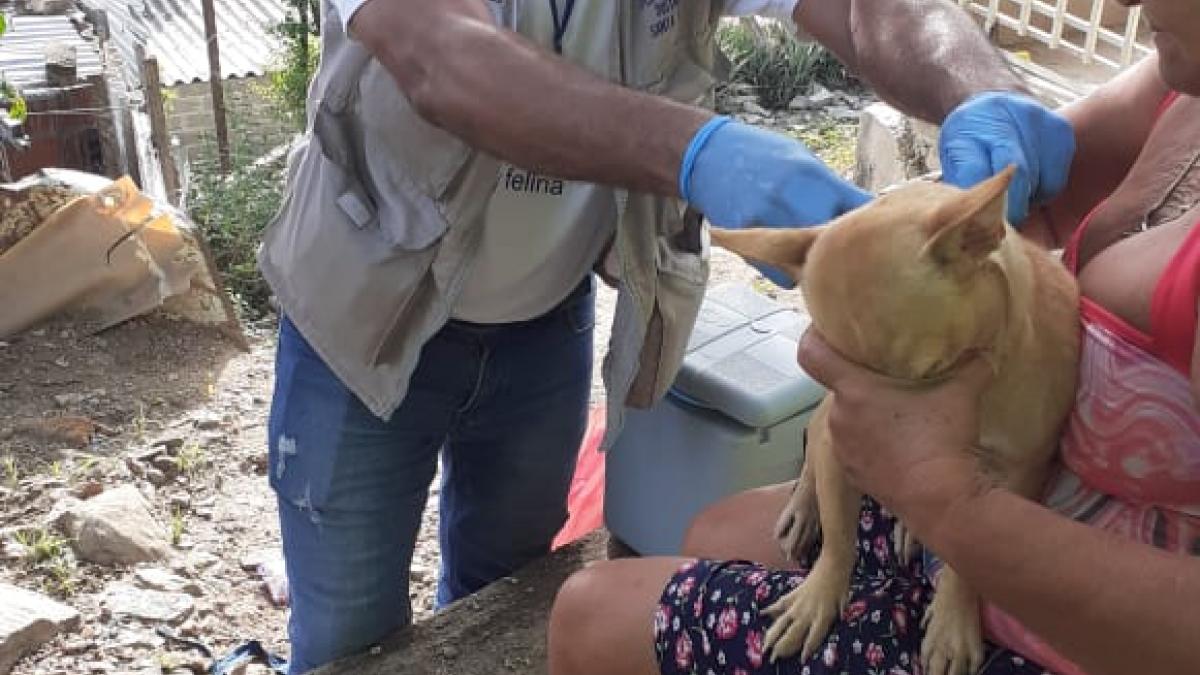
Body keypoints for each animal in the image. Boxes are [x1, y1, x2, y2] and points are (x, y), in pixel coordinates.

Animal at [710, 166, 1080, 672]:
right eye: (828, 369)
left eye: (930, 375)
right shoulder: (837, 432)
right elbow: (839, 535)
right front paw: (816, 597)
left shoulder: (1020, 476)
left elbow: (968, 558)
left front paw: (952, 620)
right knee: (815, 441)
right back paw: (806, 508)